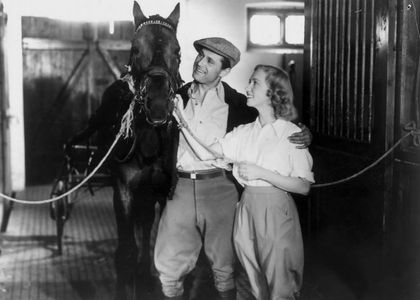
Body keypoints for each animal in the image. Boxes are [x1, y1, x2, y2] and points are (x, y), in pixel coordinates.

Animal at [66, 1, 181, 298]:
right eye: (135, 49)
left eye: (177, 51)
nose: (158, 104)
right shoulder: (124, 189)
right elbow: (126, 250)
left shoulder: (162, 189)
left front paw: (148, 277)